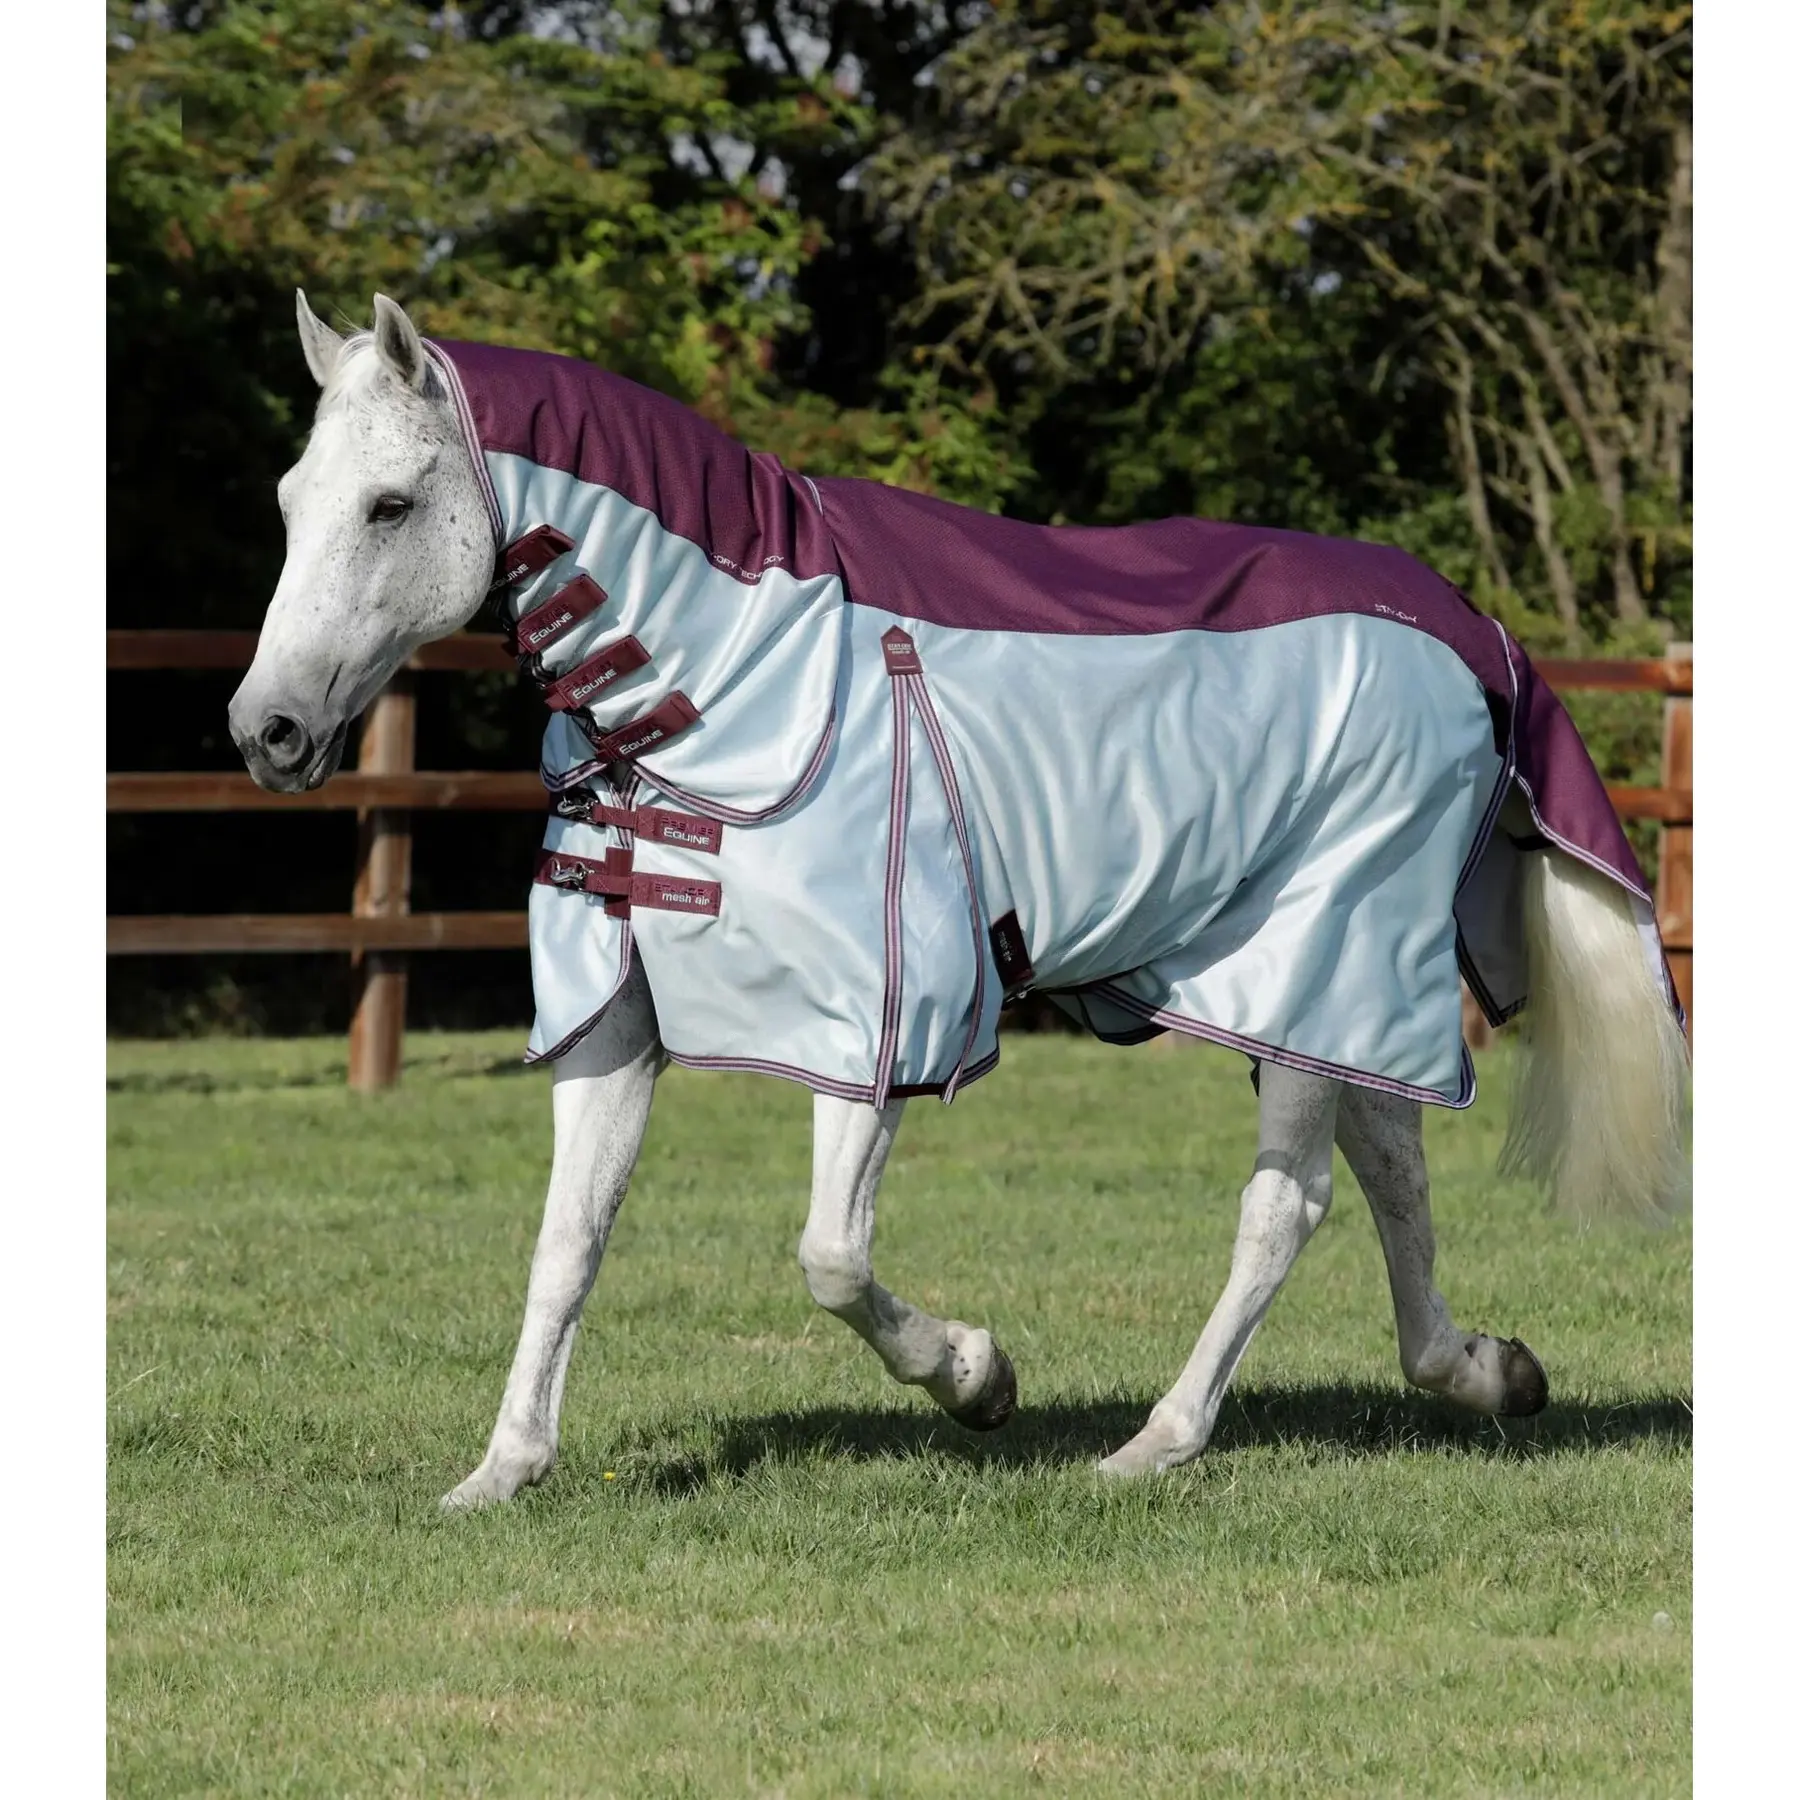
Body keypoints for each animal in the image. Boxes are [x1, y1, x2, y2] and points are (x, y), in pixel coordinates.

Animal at [230, 293, 1689, 1508]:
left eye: (391, 505)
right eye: (292, 500)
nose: (269, 730)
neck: (740, 680)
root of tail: (1470, 632)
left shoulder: (876, 1020)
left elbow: (830, 1255)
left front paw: (979, 1379)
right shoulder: (614, 1024)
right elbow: (565, 1244)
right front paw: (504, 1470)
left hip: (1325, 947)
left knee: (1289, 1209)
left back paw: (1159, 1442)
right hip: (1321, 982)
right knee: (1389, 1162)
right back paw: (1482, 1371)